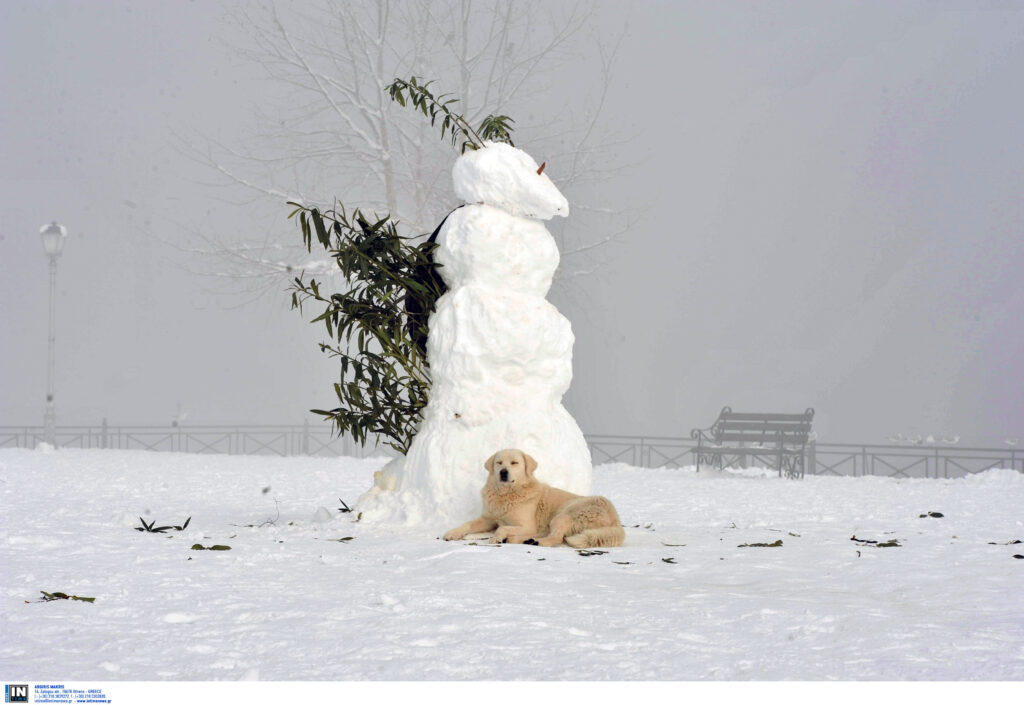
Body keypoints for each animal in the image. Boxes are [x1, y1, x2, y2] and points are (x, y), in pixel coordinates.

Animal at [440, 448, 622, 549]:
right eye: (499, 462)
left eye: (514, 463)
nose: (503, 472)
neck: (507, 495)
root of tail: (616, 520)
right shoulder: (488, 519)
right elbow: (467, 524)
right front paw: (452, 533)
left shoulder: (526, 525)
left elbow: (502, 528)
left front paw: (498, 537)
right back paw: (525, 540)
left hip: (563, 514)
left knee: (556, 537)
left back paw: (532, 541)